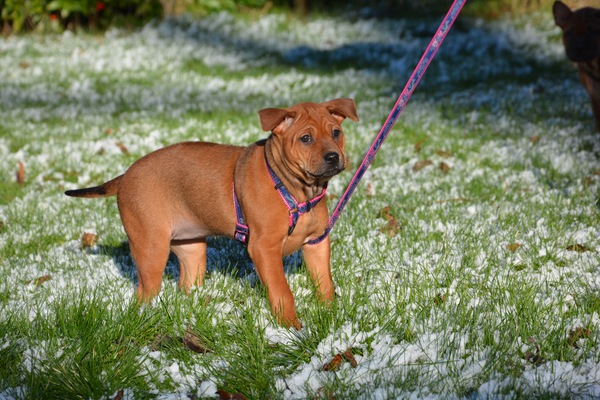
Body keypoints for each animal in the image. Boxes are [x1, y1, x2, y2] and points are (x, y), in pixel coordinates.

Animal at [67, 98, 356, 330]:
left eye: (336, 132)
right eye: (306, 138)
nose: (333, 157)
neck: (296, 190)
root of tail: (126, 175)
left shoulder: (317, 243)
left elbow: (326, 284)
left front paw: (330, 316)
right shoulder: (264, 248)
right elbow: (282, 291)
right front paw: (292, 328)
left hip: (191, 247)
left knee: (186, 284)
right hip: (151, 249)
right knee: (144, 293)